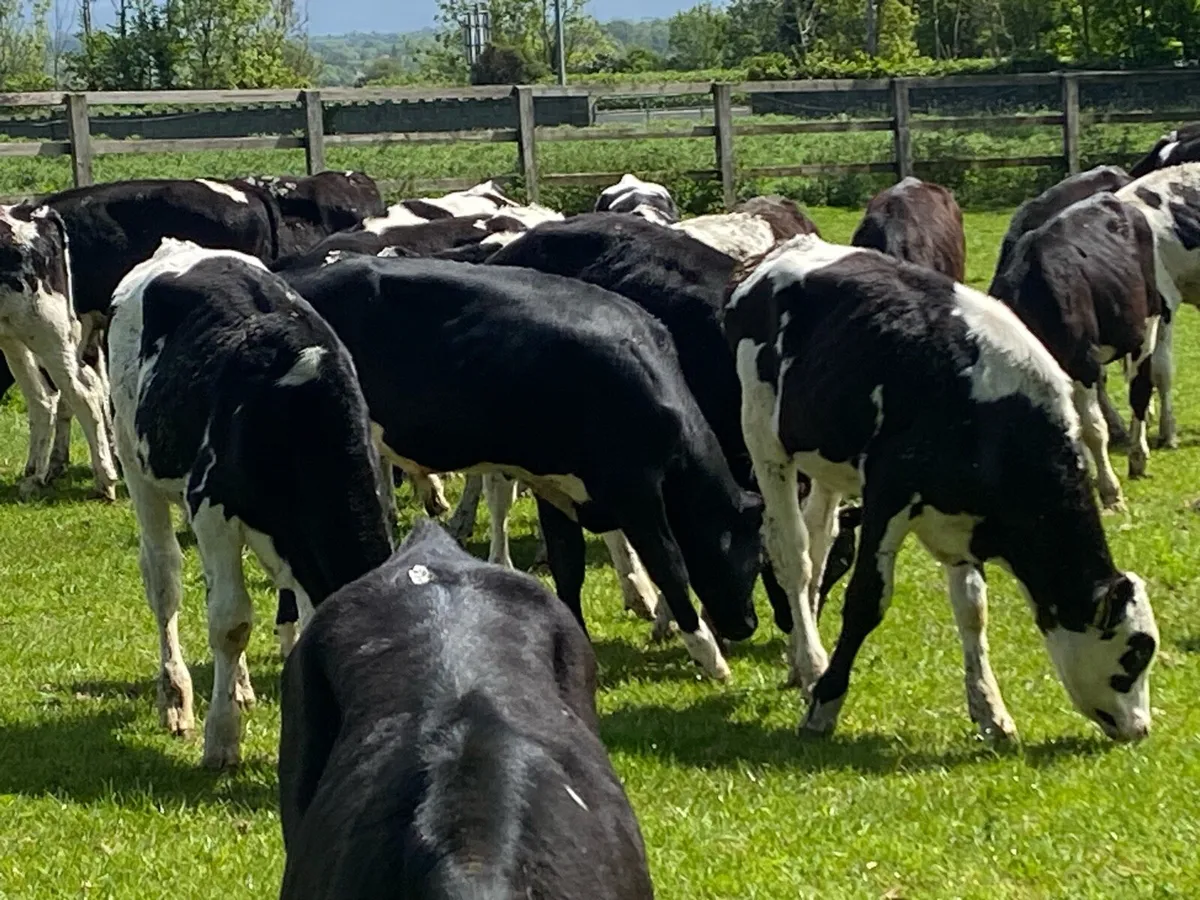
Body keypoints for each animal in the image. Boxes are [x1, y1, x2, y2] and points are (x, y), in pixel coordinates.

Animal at [0, 204, 118, 499]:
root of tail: (33, 212)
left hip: (45, 329)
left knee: (83, 393)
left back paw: (105, 480)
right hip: (14, 335)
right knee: (44, 396)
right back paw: (33, 478)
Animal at [108, 239, 393, 768]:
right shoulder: (212, 507)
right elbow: (231, 623)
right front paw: (221, 740)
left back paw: (238, 685)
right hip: (136, 462)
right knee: (164, 578)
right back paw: (175, 698)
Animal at [280, 255, 764, 679]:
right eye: (759, 558)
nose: (748, 625)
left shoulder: (555, 487)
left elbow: (569, 567)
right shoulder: (637, 493)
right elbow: (671, 566)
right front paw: (710, 656)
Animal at [727, 234, 1159, 743]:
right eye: (1135, 654)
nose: (1141, 726)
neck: (994, 416)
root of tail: (782, 251)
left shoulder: (963, 524)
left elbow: (972, 609)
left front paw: (991, 710)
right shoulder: (888, 495)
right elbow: (866, 601)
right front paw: (825, 704)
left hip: (826, 458)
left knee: (818, 545)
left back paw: (802, 658)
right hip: (765, 439)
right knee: (792, 556)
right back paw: (814, 665)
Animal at [989, 193, 1161, 508]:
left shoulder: (1084, 363)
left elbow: (1093, 428)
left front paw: (1110, 493)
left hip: (1147, 320)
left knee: (1140, 389)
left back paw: (1138, 456)